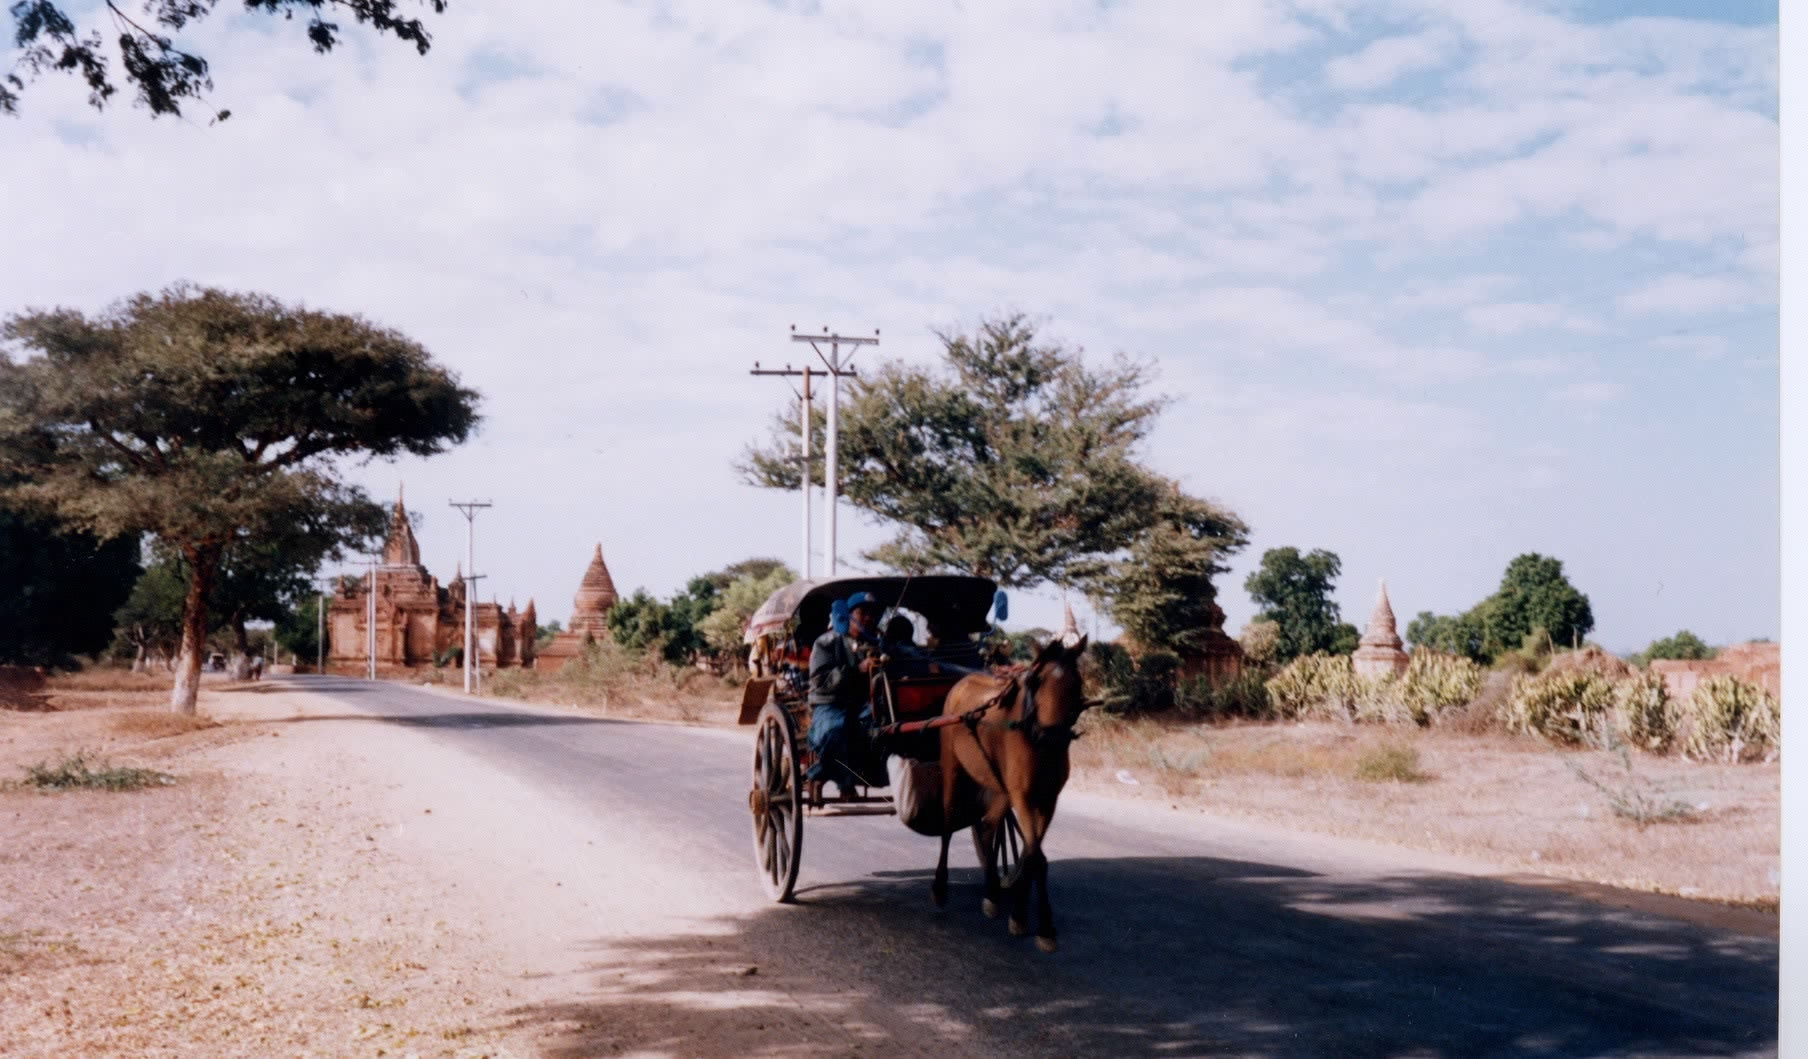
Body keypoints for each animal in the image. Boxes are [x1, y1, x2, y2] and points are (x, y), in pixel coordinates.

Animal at [932, 625, 1084, 946]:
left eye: (1077, 682)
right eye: (1037, 681)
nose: (1051, 738)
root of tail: (962, 682)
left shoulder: (1047, 799)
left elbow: (1031, 854)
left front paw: (1020, 914)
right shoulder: (1023, 796)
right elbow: (1036, 858)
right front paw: (1042, 926)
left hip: (1001, 787)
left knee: (989, 827)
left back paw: (991, 893)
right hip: (952, 767)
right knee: (949, 822)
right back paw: (939, 887)